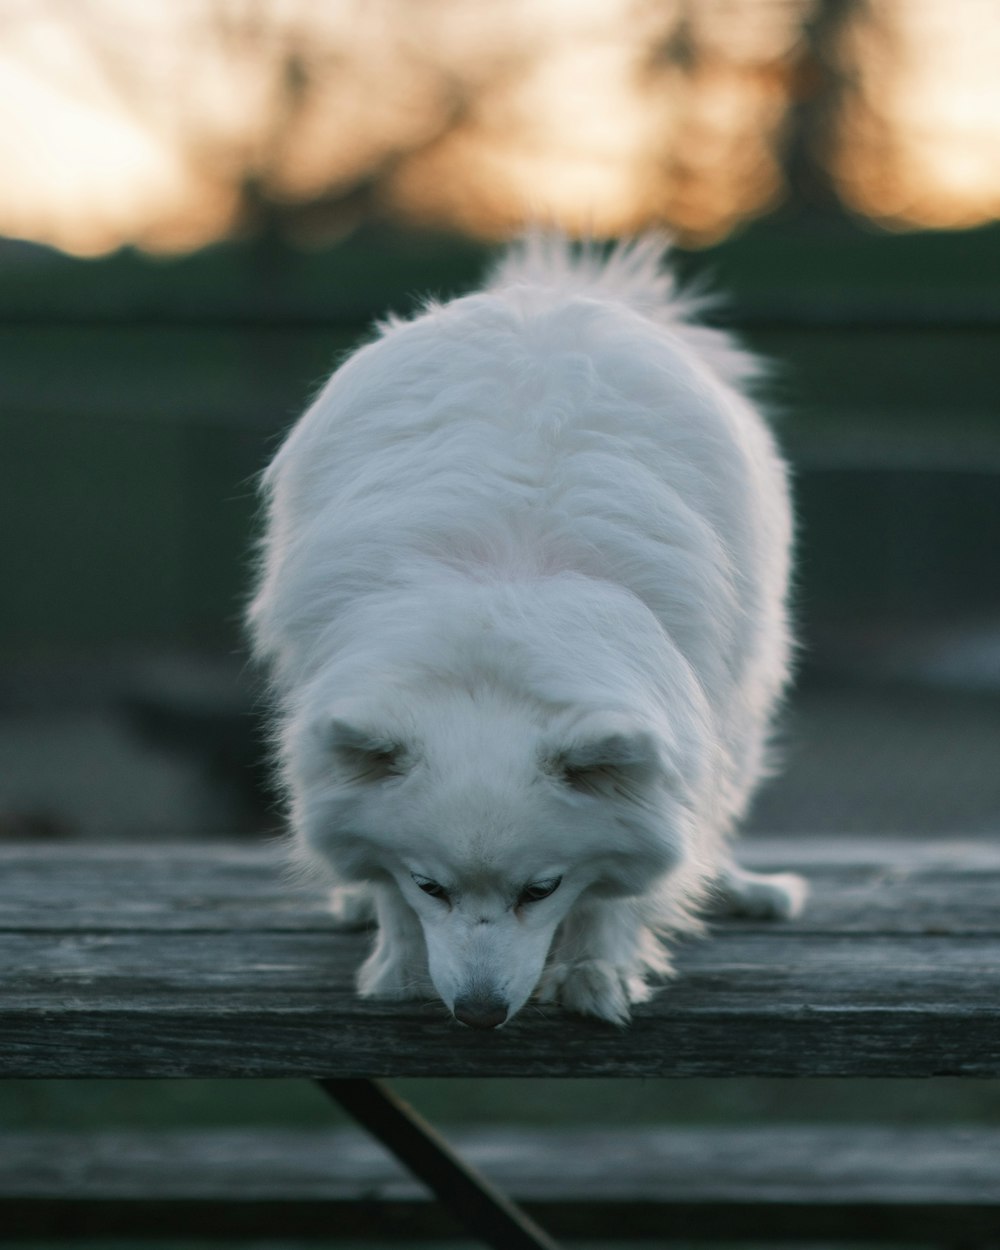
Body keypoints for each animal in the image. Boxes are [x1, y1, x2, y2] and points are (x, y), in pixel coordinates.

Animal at [247, 235, 805, 1025]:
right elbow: (382, 875)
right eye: (432, 887)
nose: (479, 1014)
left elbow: (624, 881)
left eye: (540, 890)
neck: (500, 607)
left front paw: (598, 973)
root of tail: (551, 294)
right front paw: (397, 965)